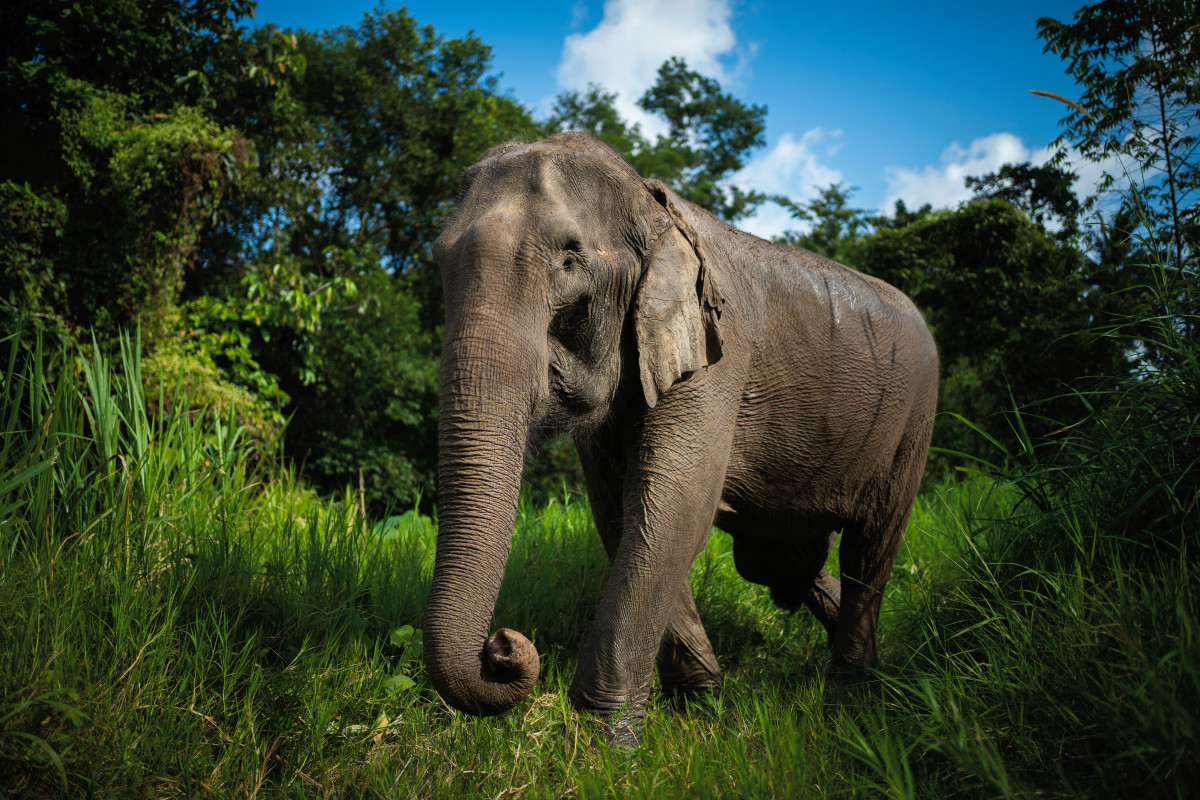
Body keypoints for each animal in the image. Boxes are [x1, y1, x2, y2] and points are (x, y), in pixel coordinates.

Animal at [422, 131, 936, 738]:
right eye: (439, 258)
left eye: (570, 260)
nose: (502, 646)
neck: (654, 206)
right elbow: (622, 514)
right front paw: (702, 707)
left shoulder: (719, 356)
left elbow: (673, 506)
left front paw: (603, 741)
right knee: (777, 561)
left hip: (913, 422)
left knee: (870, 546)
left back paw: (853, 692)